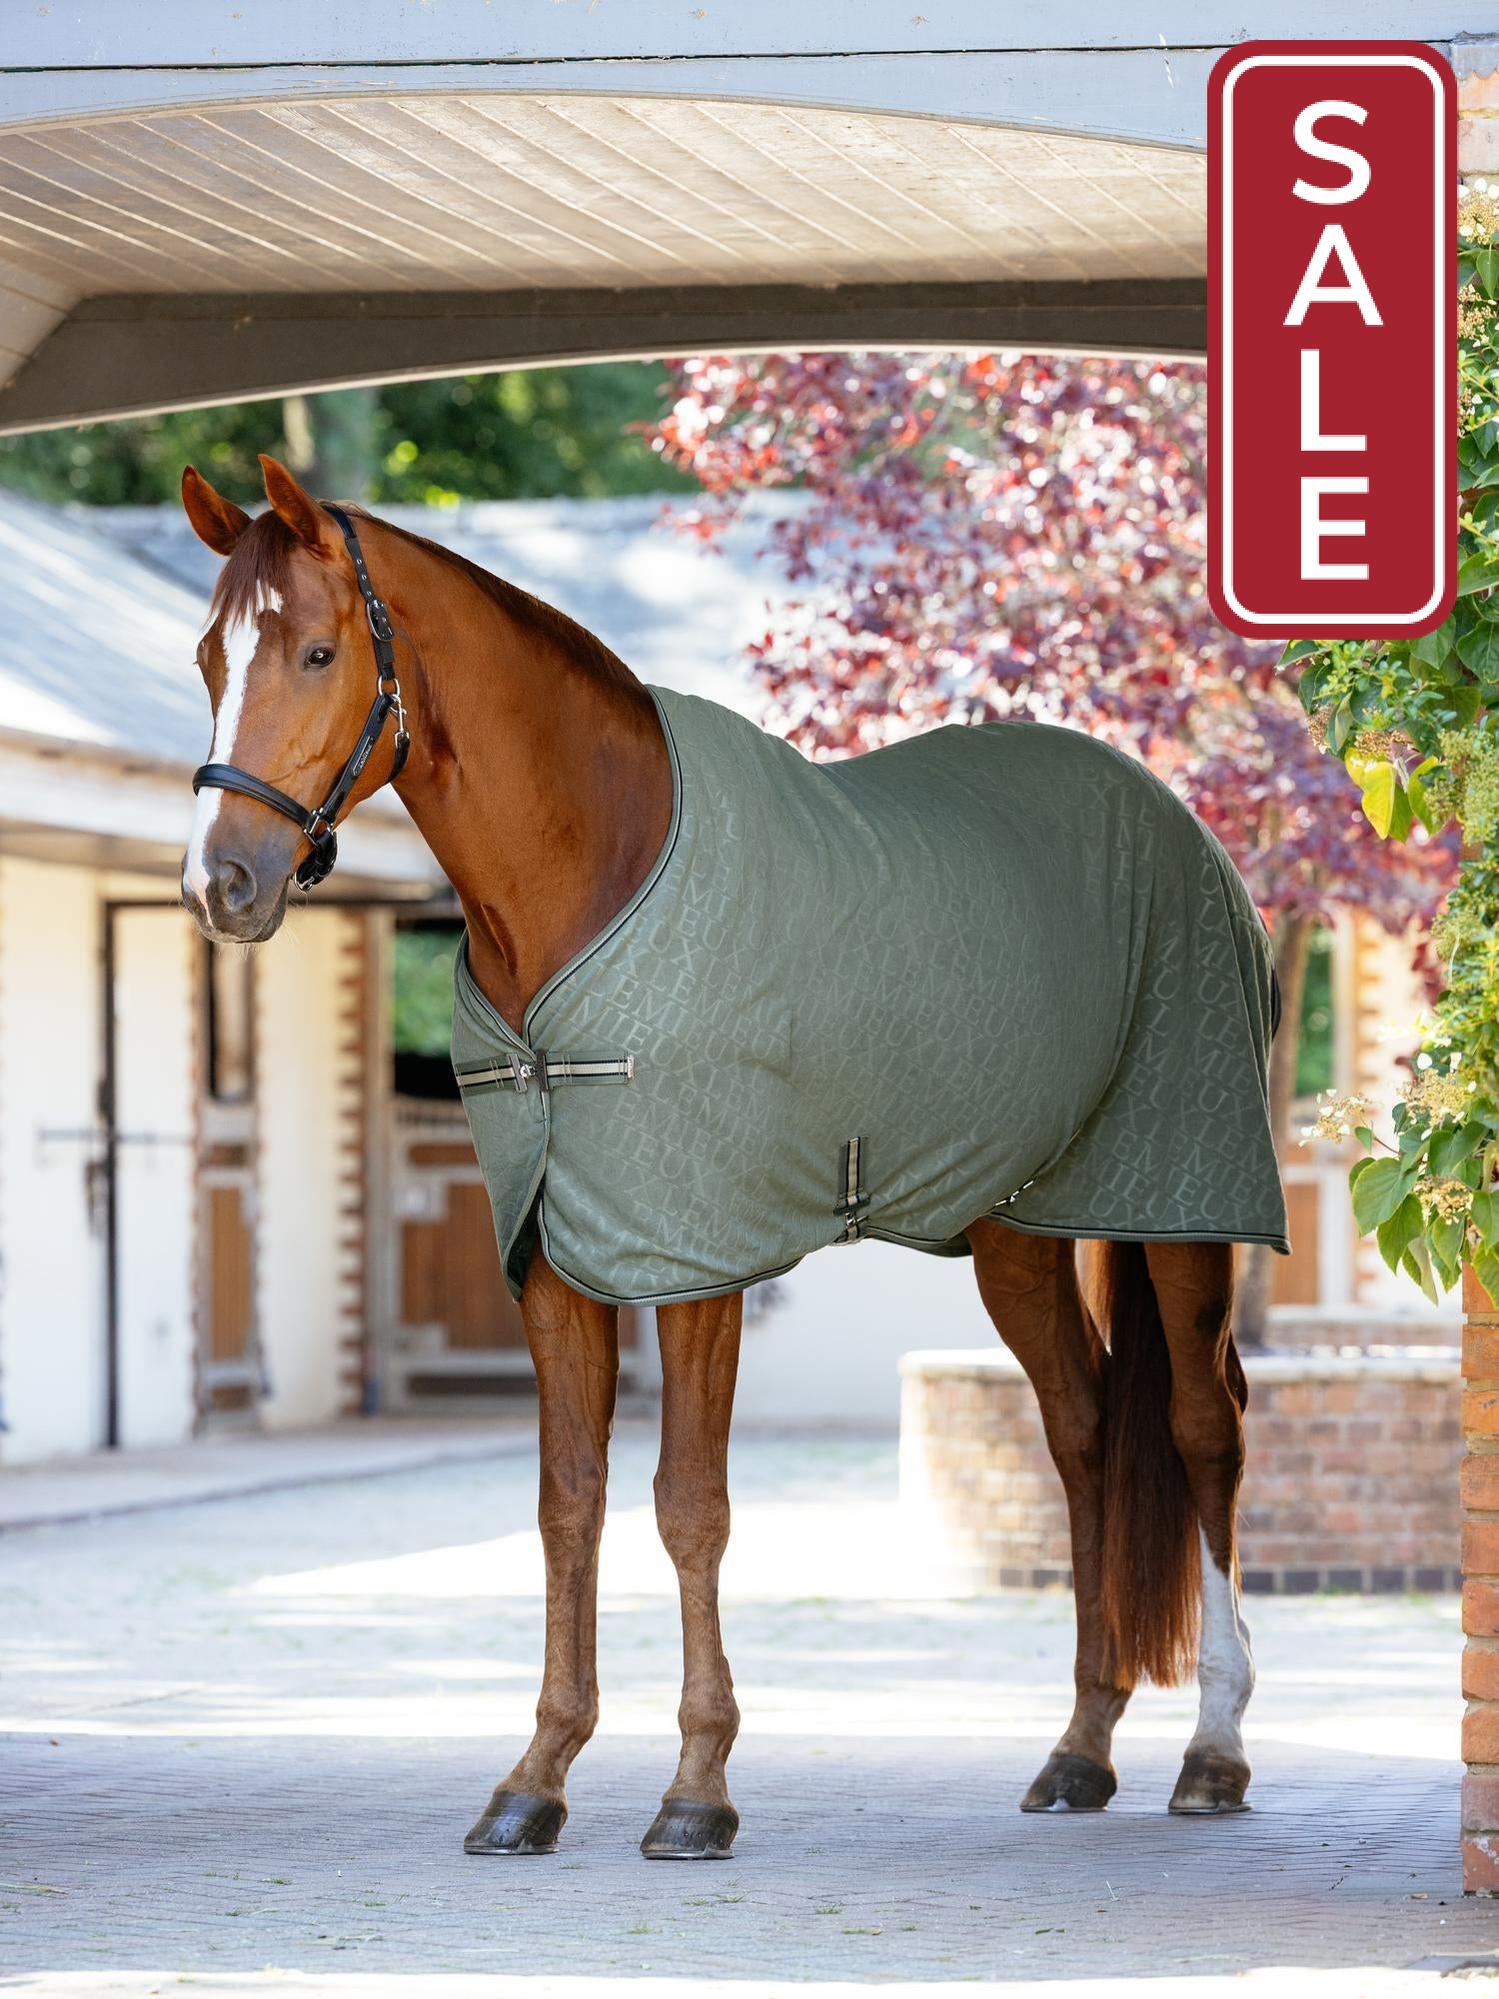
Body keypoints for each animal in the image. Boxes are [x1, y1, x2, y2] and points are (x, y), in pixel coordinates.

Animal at [178, 453, 1270, 1860]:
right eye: (211, 655)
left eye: (317, 651)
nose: (222, 884)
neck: (597, 867)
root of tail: (1180, 827)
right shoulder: (554, 1254)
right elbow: (568, 1501)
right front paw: (534, 1778)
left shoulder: (691, 1256)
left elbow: (687, 1504)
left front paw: (695, 1788)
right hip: (1019, 1229)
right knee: (1080, 1430)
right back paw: (1079, 1748)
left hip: (1182, 1201)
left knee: (1203, 1431)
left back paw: (1213, 1750)